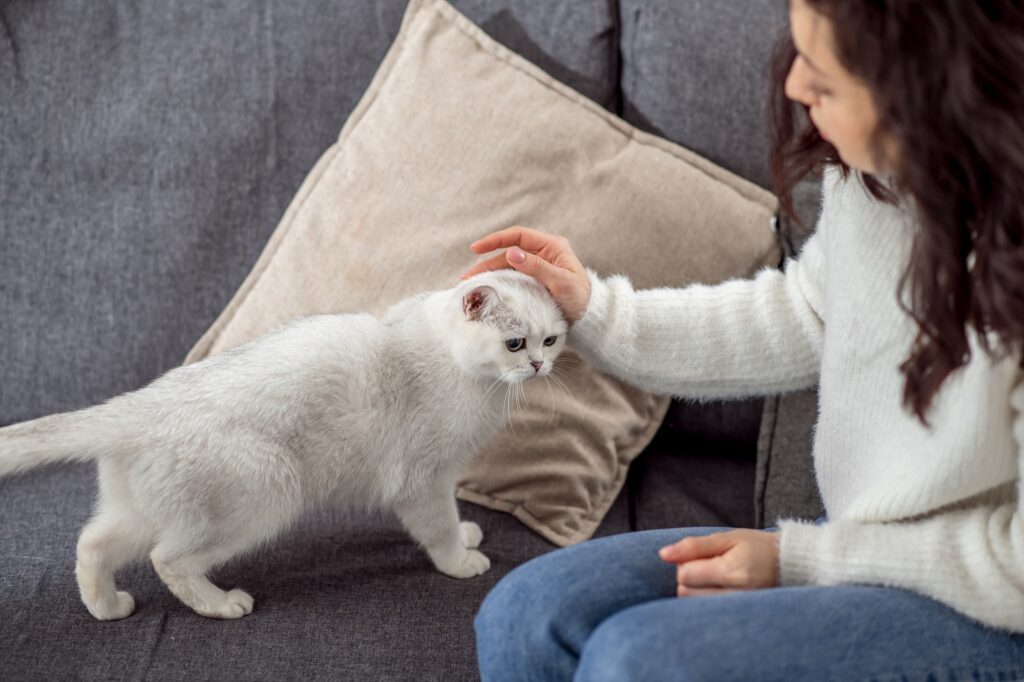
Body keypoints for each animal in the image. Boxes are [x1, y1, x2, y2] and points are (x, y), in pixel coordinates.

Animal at [0, 268, 569, 618]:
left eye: (551, 339)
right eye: (514, 343)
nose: (540, 365)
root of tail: (138, 404)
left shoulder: (444, 476)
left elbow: (454, 515)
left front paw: (469, 534)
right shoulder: (422, 482)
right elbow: (440, 529)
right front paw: (461, 560)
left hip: (144, 509)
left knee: (92, 543)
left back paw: (108, 607)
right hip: (265, 495)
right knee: (169, 560)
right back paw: (221, 604)